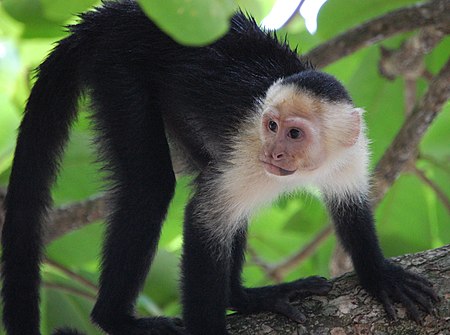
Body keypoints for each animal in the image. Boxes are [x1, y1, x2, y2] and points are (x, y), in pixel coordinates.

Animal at [0, 0, 436, 335]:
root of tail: (118, 13)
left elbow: (351, 207)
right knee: (152, 187)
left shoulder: (352, 152)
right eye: (271, 126)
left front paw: (378, 274)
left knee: (207, 174)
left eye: (294, 134)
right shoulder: (250, 149)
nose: (274, 153)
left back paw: (245, 298)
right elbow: (205, 220)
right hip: (119, 68)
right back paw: (116, 319)